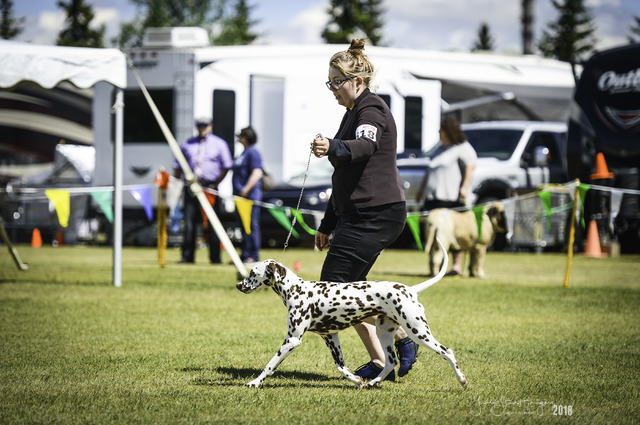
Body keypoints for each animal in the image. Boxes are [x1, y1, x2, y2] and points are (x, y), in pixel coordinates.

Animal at [235, 238, 464, 388]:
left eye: (252, 273)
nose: (238, 285)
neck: (297, 290)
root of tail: (410, 289)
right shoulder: (330, 337)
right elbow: (341, 368)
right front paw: (356, 380)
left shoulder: (292, 340)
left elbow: (269, 365)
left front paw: (254, 382)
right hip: (384, 333)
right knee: (390, 361)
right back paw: (373, 382)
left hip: (418, 331)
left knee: (447, 352)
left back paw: (462, 380)